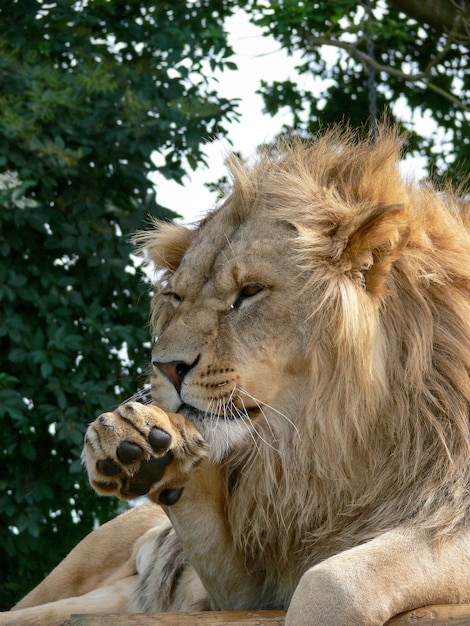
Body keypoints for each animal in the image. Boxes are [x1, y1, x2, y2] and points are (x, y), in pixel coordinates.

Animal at [2, 123, 470, 624]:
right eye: (176, 298)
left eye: (249, 292)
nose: (166, 366)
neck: (331, 440)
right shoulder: (244, 593)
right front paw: (136, 438)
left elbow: (334, 580)